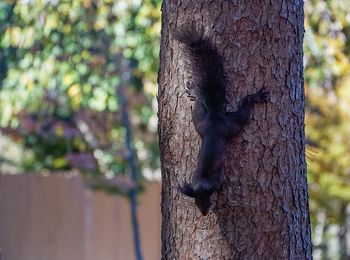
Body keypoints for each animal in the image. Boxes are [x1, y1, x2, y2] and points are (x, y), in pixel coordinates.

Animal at [176, 28, 270, 216]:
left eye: (209, 200)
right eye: (196, 203)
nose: (204, 213)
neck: (203, 180)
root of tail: (214, 119)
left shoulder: (216, 179)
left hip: (230, 125)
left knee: (244, 107)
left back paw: (255, 97)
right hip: (202, 123)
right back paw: (194, 92)